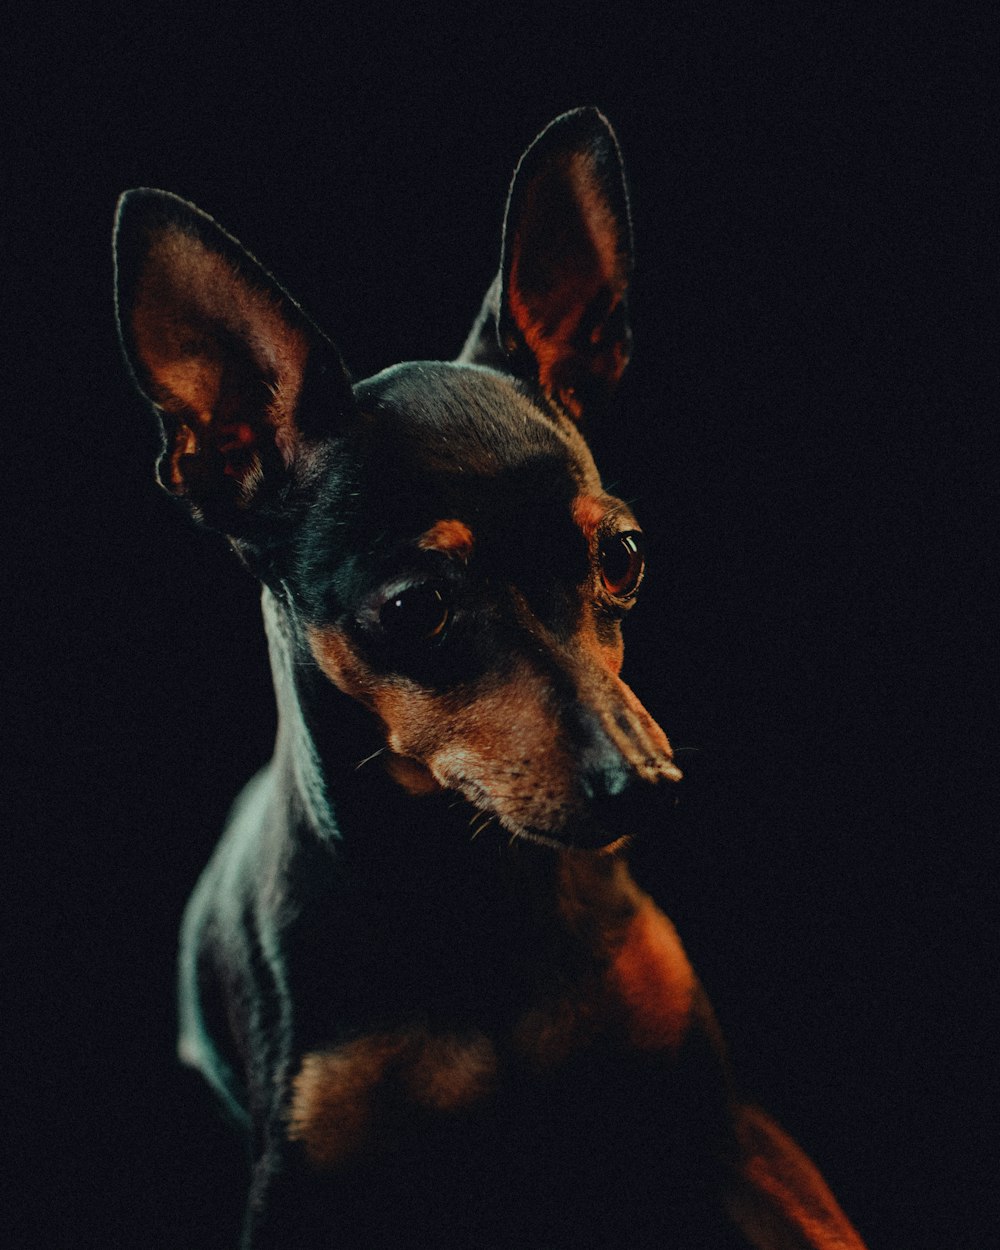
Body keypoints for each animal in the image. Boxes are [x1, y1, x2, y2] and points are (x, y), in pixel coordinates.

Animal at [115, 110, 865, 1250]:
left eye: (624, 556)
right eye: (414, 607)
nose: (649, 785)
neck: (474, 894)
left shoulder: (734, 1136)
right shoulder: (297, 1193)